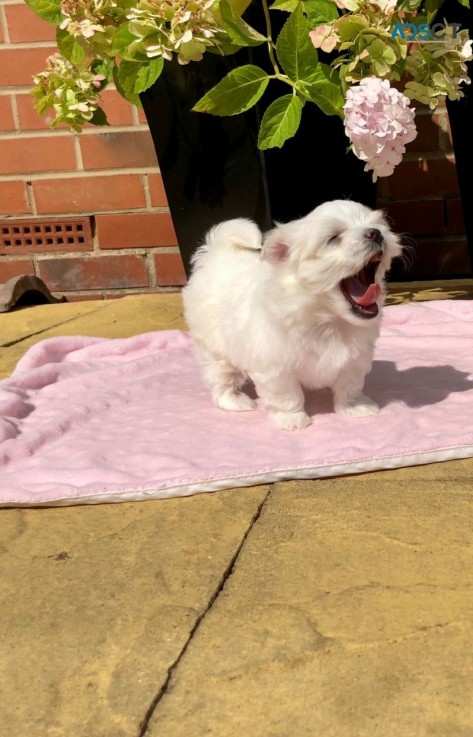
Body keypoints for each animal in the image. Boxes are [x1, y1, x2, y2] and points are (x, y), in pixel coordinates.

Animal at [183, 201, 400, 432]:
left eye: (379, 225)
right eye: (333, 238)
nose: (376, 233)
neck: (327, 319)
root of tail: (217, 253)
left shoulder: (356, 359)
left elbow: (350, 384)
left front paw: (355, 407)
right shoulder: (275, 367)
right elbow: (286, 395)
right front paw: (292, 419)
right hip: (213, 348)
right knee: (221, 376)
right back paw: (236, 401)